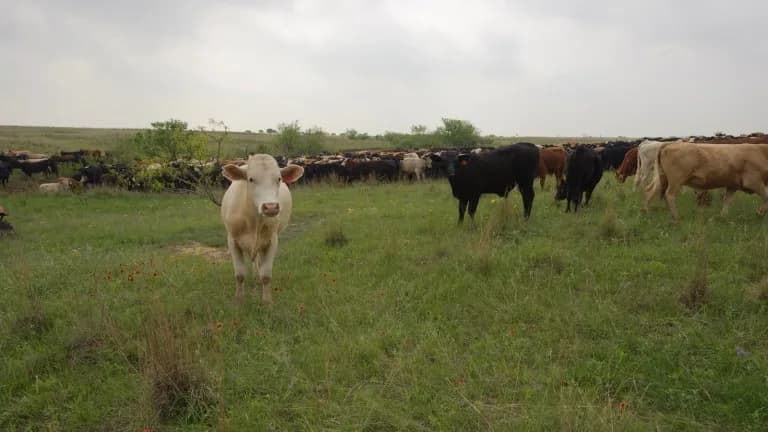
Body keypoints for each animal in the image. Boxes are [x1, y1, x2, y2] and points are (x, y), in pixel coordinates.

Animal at [220, 154, 304, 304]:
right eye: (251, 179)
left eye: (279, 179)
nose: (270, 207)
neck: (253, 219)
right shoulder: (232, 240)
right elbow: (240, 274)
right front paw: (239, 299)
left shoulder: (272, 241)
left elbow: (266, 275)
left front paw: (267, 301)